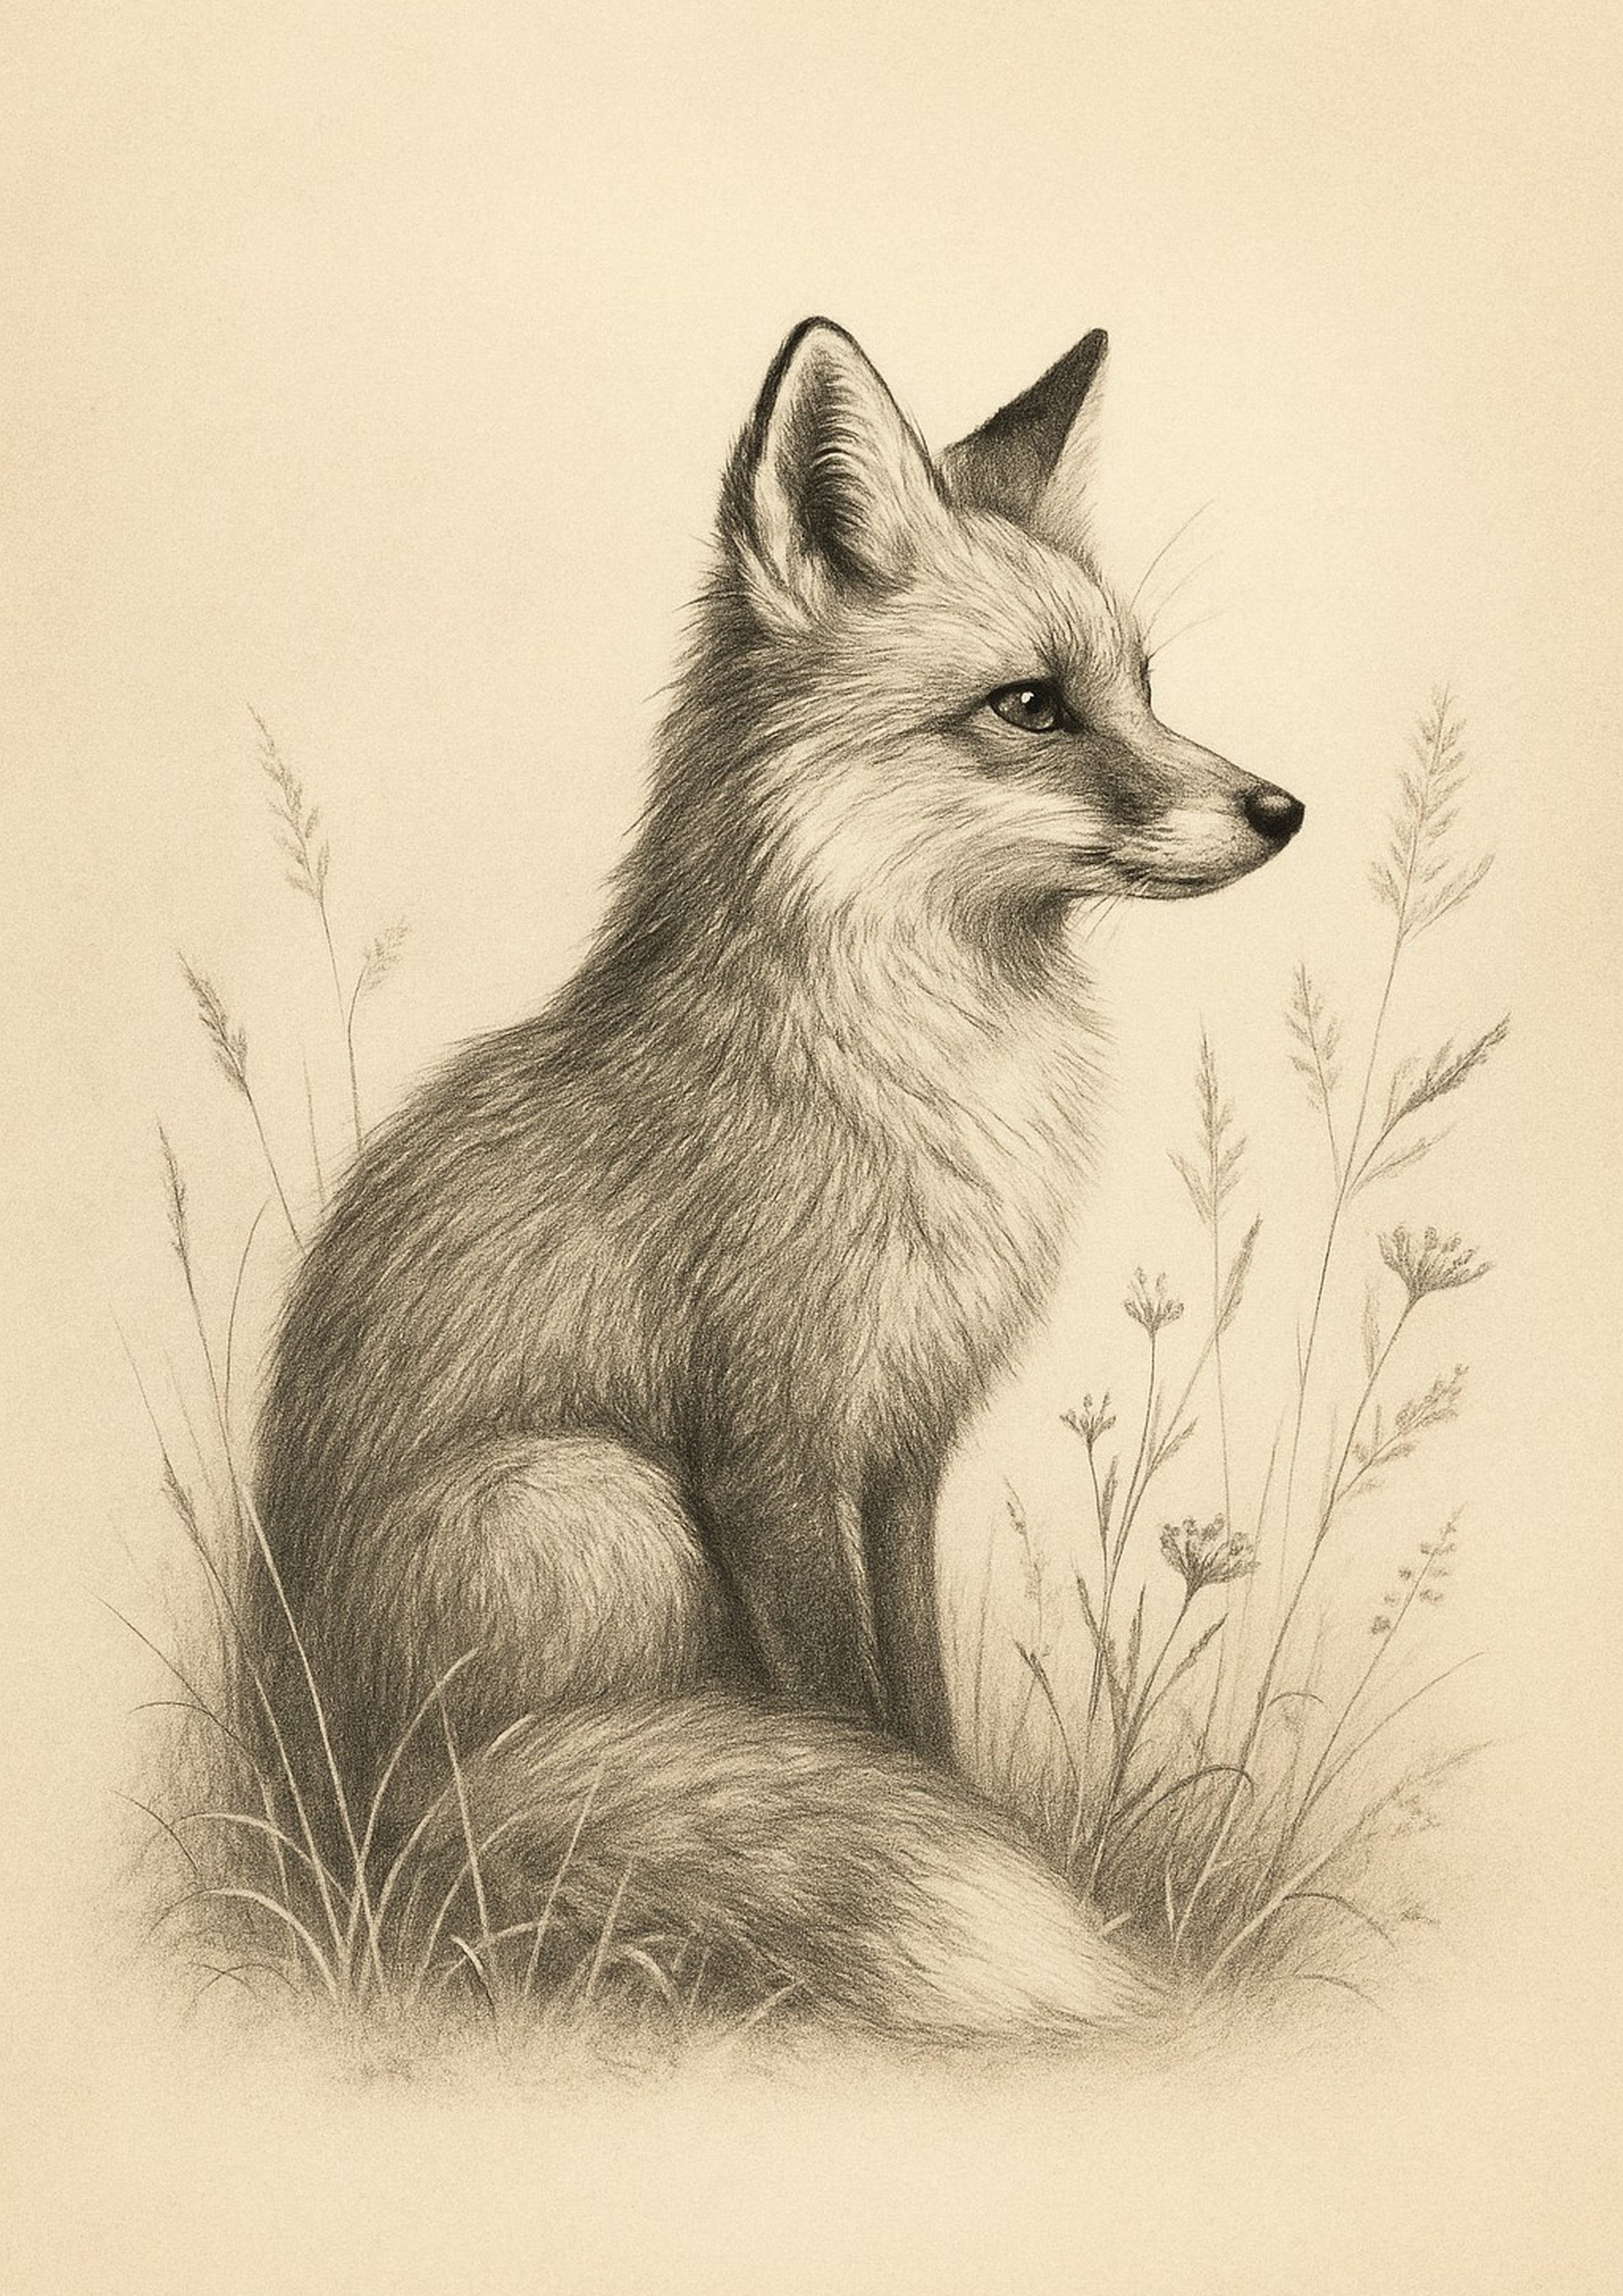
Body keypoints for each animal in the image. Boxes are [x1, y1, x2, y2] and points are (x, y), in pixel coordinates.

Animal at [253, 319, 1303, 2041]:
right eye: (1031, 704)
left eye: (1144, 688)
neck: (914, 1085)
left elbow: (916, 1713)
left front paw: (968, 1823)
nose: (1282, 809)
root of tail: (313, 1798)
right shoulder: (770, 1451)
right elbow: (843, 1710)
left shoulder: (902, 1454)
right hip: (596, 1501)